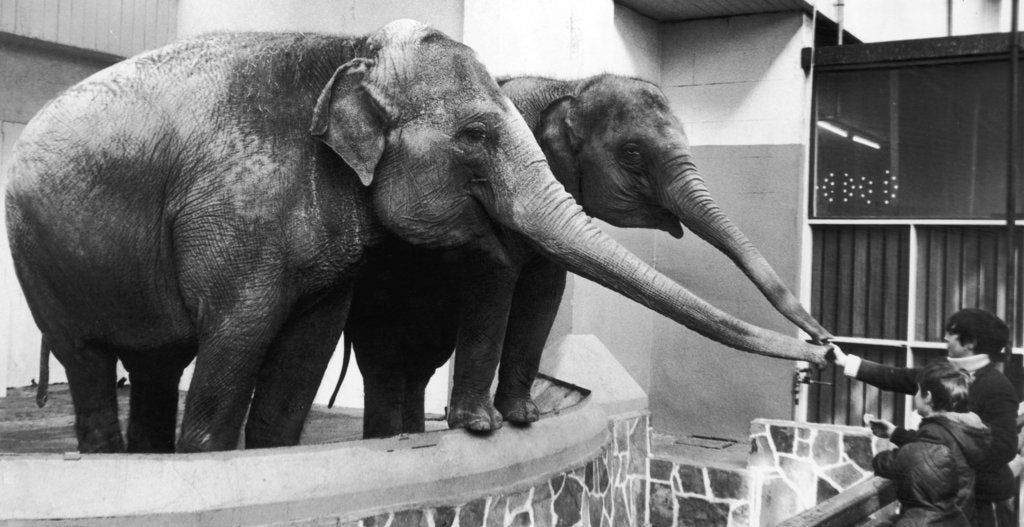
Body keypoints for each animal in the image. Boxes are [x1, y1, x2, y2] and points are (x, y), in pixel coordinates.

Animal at [343, 74, 835, 439]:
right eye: (632, 153)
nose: (827, 345)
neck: (567, 85)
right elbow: (498, 275)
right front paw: (481, 426)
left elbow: (547, 289)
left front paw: (523, 418)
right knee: (386, 358)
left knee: (418, 361)